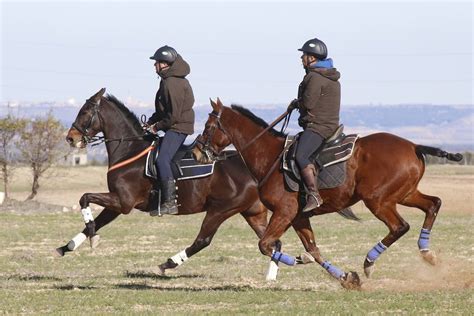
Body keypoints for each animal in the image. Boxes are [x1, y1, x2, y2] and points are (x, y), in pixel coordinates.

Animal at [59, 89, 274, 274]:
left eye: (85, 112)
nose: (70, 138)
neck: (130, 150)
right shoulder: (117, 204)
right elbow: (97, 221)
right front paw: (67, 246)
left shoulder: (123, 202)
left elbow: (85, 198)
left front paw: (92, 238)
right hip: (252, 211)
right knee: (270, 242)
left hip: (220, 210)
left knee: (203, 240)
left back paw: (167, 264)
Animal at [193, 99, 462, 286]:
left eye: (208, 127)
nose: (196, 153)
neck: (268, 156)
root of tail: (414, 145)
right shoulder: (299, 216)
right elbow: (314, 250)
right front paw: (347, 279)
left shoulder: (284, 212)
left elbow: (266, 244)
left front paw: (300, 260)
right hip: (404, 194)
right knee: (433, 204)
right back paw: (427, 254)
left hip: (378, 200)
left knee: (400, 226)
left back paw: (369, 261)